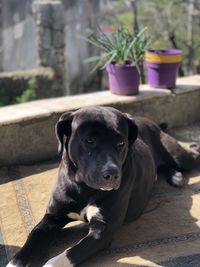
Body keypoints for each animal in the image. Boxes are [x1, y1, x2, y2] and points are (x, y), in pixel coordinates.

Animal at [7, 107, 199, 267]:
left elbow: (68, 254)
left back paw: (184, 162)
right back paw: (175, 175)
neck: (84, 188)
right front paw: (15, 262)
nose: (112, 175)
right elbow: (33, 236)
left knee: (192, 156)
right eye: (89, 141)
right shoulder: (52, 217)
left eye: (121, 143)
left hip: (180, 157)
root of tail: (148, 120)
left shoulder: (101, 231)